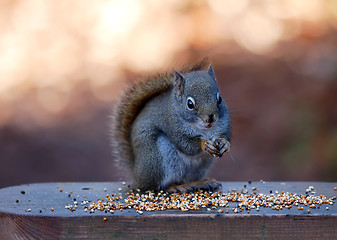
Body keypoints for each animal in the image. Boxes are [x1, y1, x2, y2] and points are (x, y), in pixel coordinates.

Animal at [111, 61, 230, 192]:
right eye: (190, 104)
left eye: (219, 99)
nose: (210, 118)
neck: (204, 129)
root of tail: (136, 176)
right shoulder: (173, 127)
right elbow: (186, 145)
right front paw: (204, 144)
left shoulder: (224, 125)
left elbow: (225, 136)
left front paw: (224, 144)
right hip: (157, 159)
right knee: (158, 186)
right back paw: (174, 187)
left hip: (201, 166)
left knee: (186, 179)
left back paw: (200, 183)